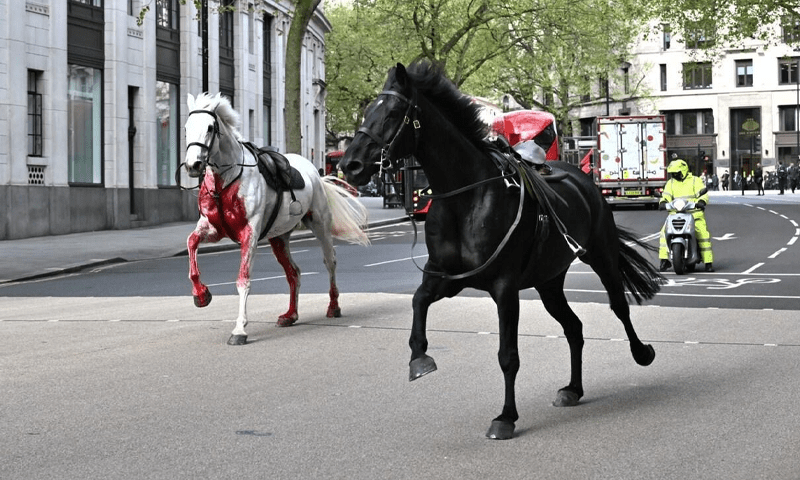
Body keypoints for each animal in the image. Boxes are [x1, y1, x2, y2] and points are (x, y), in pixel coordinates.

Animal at [183, 93, 370, 345]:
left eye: (210, 127)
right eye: (186, 127)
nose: (193, 165)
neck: (226, 180)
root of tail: (315, 172)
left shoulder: (249, 234)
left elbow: (243, 280)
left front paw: (239, 330)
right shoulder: (213, 229)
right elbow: (191, 243)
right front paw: (201, 295)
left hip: (320, 224)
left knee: (330, 261)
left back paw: (333, 307)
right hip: (279, 237)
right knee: (294, 272)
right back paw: (290, 315)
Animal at [339, 61, 663, 440]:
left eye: (392, 113)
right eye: (366, 112)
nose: (350, 165)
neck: (465, 198)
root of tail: (581, 176)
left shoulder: (504, 287)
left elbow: (508, 355)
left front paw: (506, 417)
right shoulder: (447, 278)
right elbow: (418, 301)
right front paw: (419, 359)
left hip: (601, 254)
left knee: (618, 306)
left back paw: (641, 352)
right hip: (548, 281)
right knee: (574, 327)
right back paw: (573, 389)